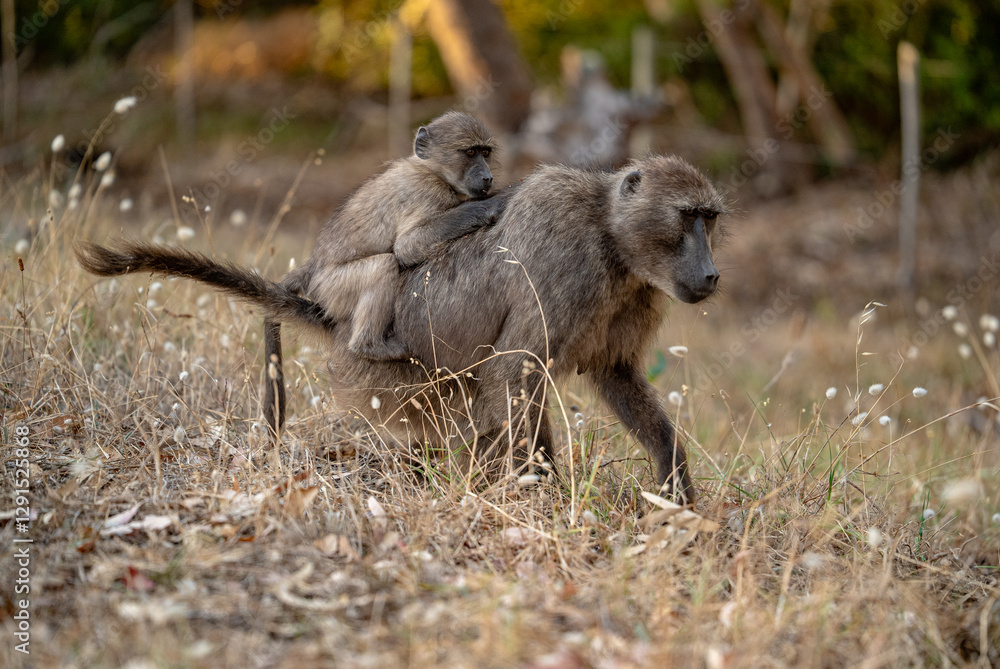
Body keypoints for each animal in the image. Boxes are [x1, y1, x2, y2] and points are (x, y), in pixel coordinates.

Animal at [75, 153, 724, 504]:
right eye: (687, 217)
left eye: (710, 219)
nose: (712, 273)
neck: (612, 239)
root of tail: (340, 323)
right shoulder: (566, 260)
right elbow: (515, 371)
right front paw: (548, 506)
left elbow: (614, 374)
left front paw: (677, 494)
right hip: (389, 376)